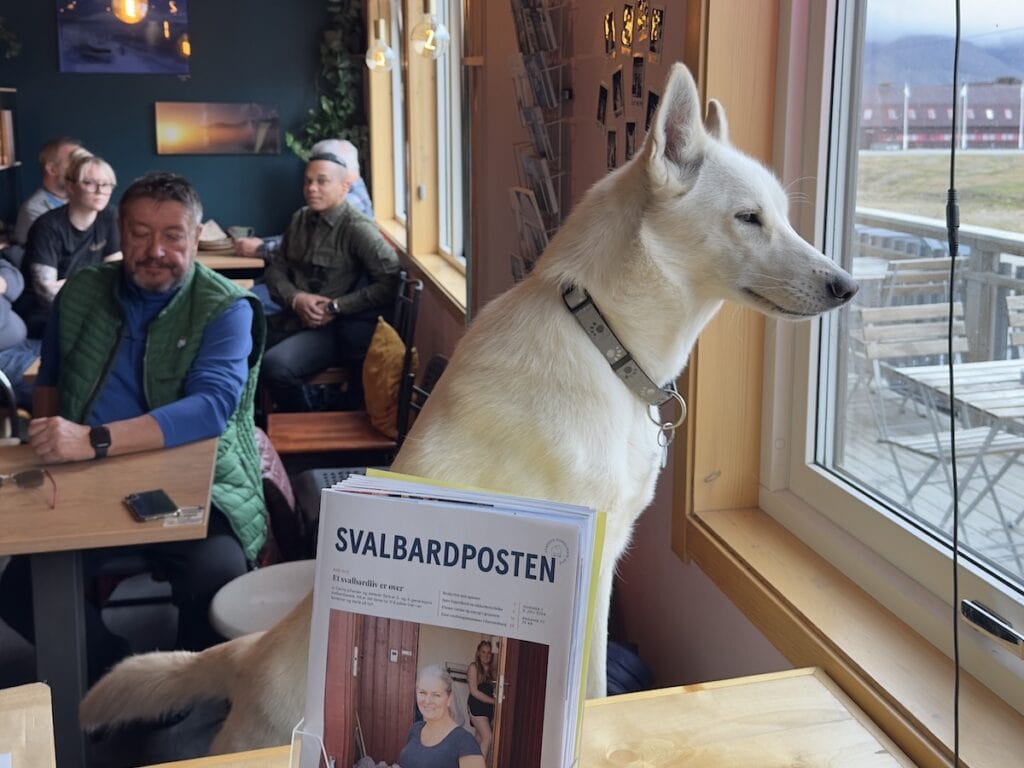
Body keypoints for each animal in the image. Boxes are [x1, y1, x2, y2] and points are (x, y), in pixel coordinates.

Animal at [79, 61, 856, 757]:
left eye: (781, 217)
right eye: (749, 219)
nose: (846, 286)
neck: (602, 336)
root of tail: (248, 656)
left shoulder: (606, 564)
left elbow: (596, 687)